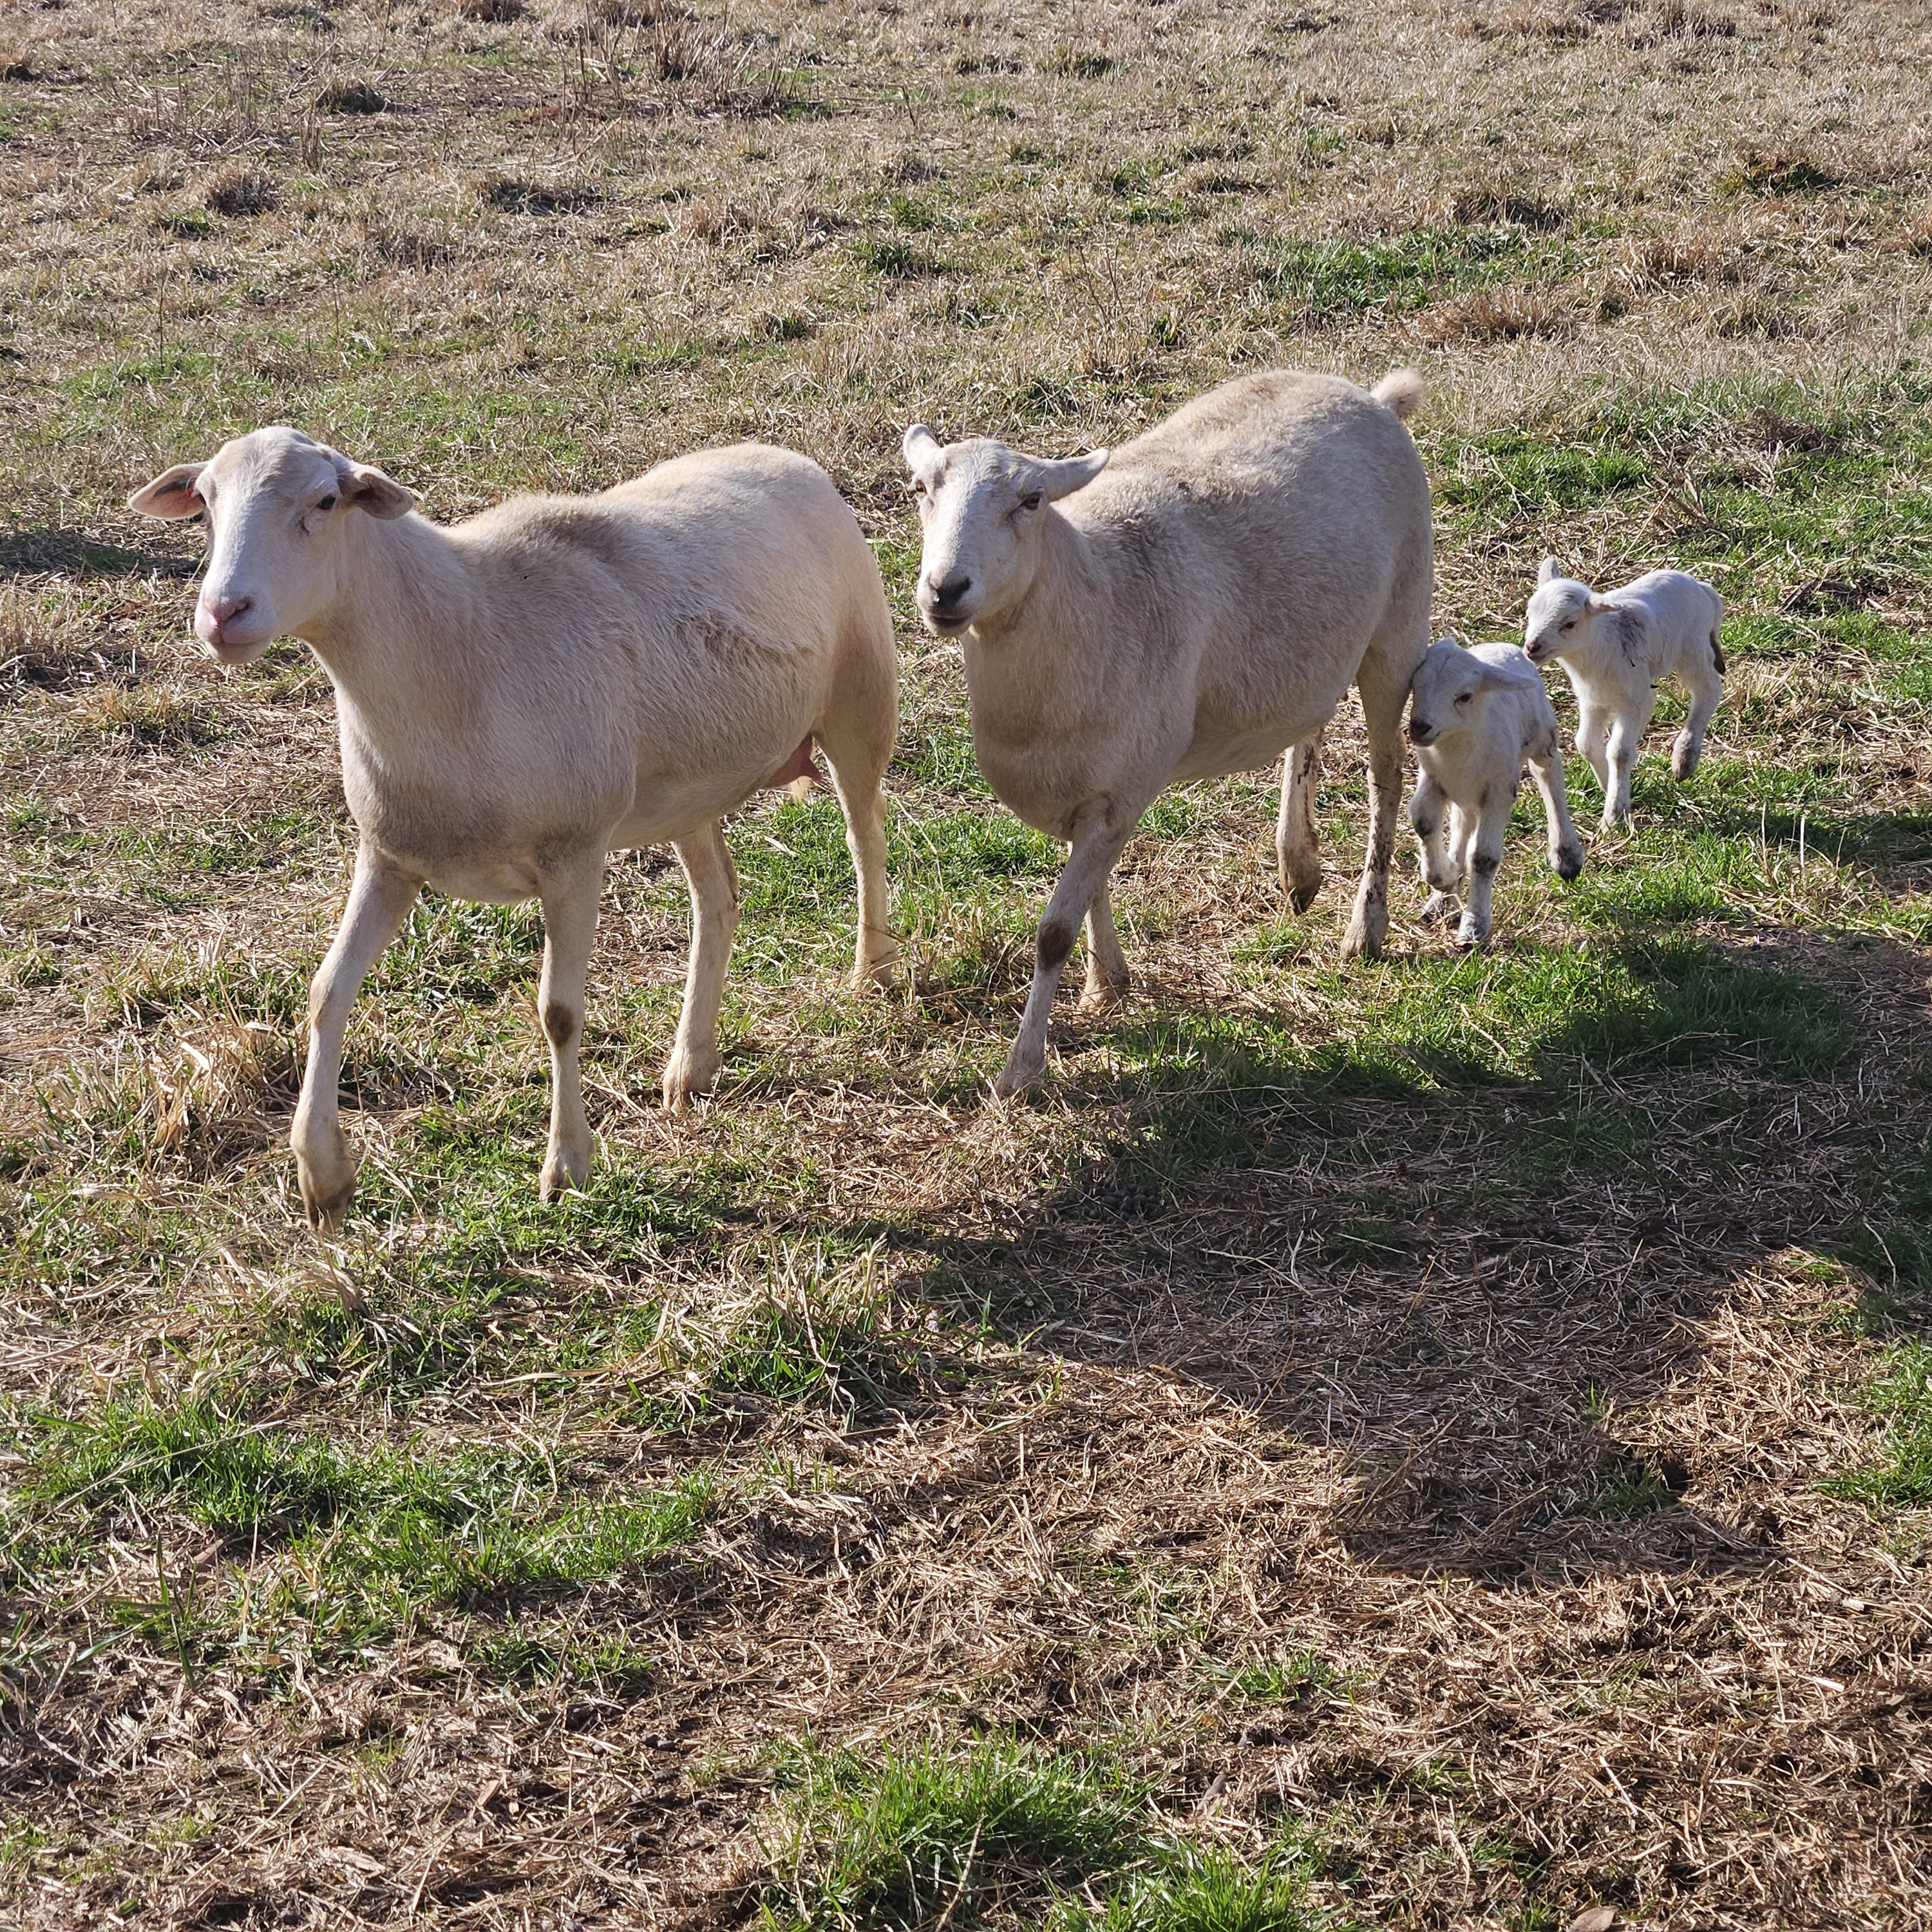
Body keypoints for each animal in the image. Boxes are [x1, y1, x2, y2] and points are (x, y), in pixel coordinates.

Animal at [128, 433, 896, 1229]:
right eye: (205, 502)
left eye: (326, 500)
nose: (224, 613)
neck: (455, 641)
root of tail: (782, 455)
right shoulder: (389, 854)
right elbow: (326, 991)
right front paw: (323, 1174)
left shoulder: (574, 852)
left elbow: (558, 1012)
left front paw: (566, 1165)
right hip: (686, 784)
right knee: (717, 898)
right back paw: (693, 1065)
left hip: (861, 694)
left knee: (865, 835)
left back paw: (873, 969)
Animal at [904, 369, 1437, 1097]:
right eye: (920, 490)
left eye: (1032, 500)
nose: (945, 590)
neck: (1095, 593)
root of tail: (1371, 398)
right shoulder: (1089, 787)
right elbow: (1091, 891)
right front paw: (1107, 983)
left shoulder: (1119, 790)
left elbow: (1053, 932)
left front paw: (1022, 1071)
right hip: (1318, 644)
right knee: (1311, 723)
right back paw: (1297, 863)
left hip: (1397, 627)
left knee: (1388, 775)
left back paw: (1367, 927)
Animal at [1406, 638, 1584, 947]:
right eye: (1416, 685)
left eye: (1465, 696)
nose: (1419, 726)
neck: (1458, 746)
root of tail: (1502, 645)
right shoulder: (1434, 780)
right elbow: (1424, 822)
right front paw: (1446, 878)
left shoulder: (1499, 789)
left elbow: (1483, 857)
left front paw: (1474, 926)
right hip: (1465, 793)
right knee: (1463, 821)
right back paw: (1444, 897)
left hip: (1541, 734)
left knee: (1548, 773)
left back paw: (1566, 855)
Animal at [1530, 560, 1731, 831]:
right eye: (1530, 613)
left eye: (1569, 623)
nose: (1532, 647)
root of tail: (1702, 587)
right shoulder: (1592, 700)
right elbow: (1586, 744)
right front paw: (1610, 786)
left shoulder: (1629, 701)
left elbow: (1619, 753)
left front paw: (1614, 814)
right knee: (1657, 700)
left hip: (1692, 650)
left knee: (1708, 689)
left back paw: (1685, 758)